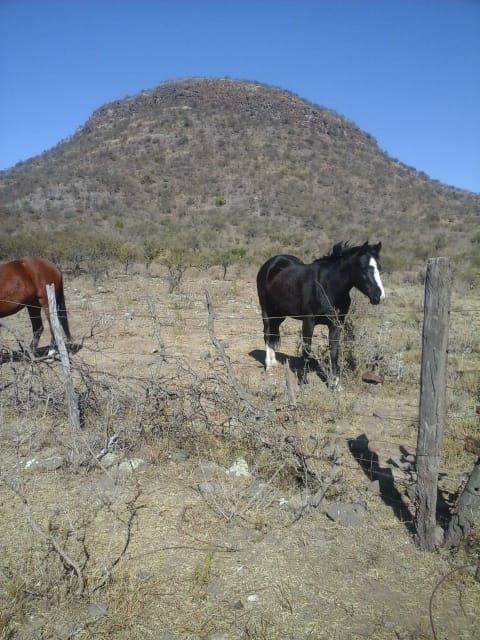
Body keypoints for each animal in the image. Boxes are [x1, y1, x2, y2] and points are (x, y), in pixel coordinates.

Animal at [256, 242, 384, 384]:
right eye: (363, 268)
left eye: (379, 268)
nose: (379, 296)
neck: (326, 287)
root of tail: (272, 262)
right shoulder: (308, 322)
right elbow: (307, 350)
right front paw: (303, 381)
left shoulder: (336, 325)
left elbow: (334, 352)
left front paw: (335, 383)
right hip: (266, 310)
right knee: (267, 333)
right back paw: (269, 366)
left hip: (280, 313)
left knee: (273, 332)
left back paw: (274, 362)